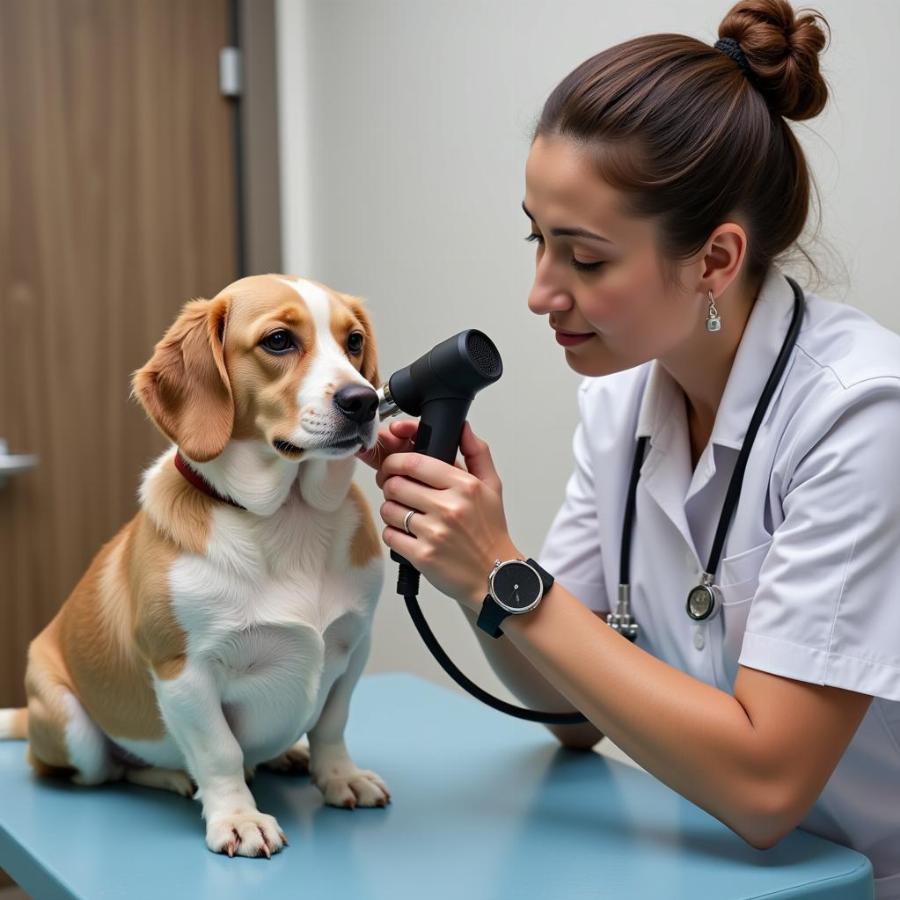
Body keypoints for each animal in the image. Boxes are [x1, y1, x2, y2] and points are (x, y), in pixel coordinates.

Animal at [0, 272, 390, 856]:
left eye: (355, 342)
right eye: (279, 341)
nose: (363, 401)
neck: (287, 516)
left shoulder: (355, 646)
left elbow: (331, 726)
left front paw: (340, 776)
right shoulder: (184, 673)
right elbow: (219, 751)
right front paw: (238, 817)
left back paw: (285, 753)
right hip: (74, 731)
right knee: (114, 769)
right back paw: (173, 776)